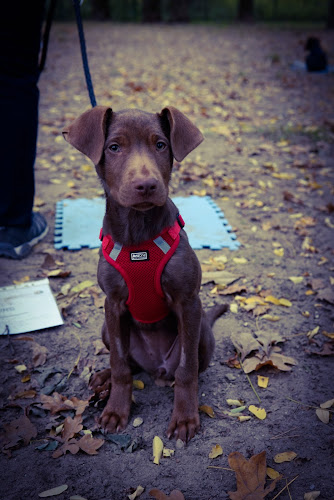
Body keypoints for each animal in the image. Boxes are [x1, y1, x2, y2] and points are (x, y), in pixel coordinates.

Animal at [62, 106, 227, 442]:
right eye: (114, 147)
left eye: (161, 145)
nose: (146, 185)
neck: (137, 233)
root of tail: (156, 367)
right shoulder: (112, 304)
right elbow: (120, 364)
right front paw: (116, 410)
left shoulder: (188, 302)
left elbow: (188, 369)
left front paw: (185, 416)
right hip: (106, 327)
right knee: (129, 363)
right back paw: (104, 378)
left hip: (202, 331)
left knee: (187, 368)